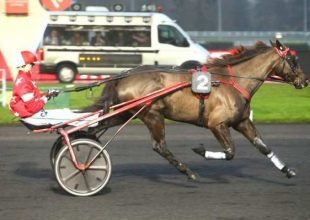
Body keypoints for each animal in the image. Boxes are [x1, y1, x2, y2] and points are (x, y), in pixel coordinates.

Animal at [85, 40, 308, 180]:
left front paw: (288, 170)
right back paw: (188, 171)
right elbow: (230, 152)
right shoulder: (217, 124)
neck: (233, 81)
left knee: (96, 128)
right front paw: (200, 150)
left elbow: (263, 147)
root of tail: (124, 75)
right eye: (293, 60)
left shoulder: (242, 121)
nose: (305, 80)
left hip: (126, 113)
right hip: (152, 114)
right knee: (159, 146)